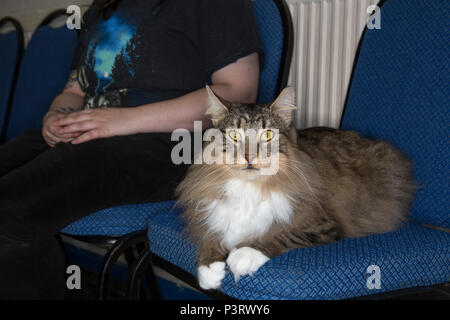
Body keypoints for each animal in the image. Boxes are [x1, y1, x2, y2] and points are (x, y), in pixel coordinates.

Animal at [175, 85, 414, 290]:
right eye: (235, 136)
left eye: (267, 135)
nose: (249, 157)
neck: (251, 187)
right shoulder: (210, 213)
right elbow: (211, 235)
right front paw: (209, 270)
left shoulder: (323, 225)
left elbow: (280, 235)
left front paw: (243, 255)